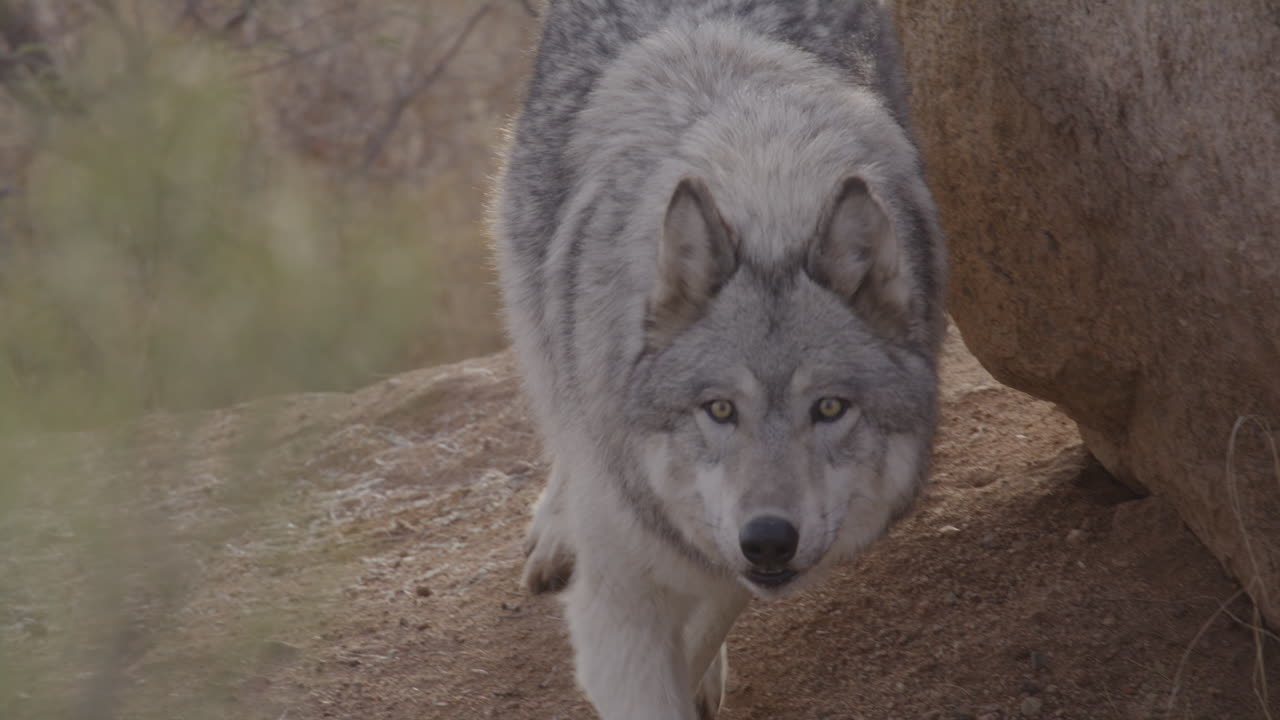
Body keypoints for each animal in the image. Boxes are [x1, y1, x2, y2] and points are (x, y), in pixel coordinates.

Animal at [490, 1, 946, 717]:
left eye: (830, 408)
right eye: (720, 410)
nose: (768, 537)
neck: (767, 199)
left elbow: (716, 598)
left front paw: (701, 667)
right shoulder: (619, 590)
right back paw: (555, 532)